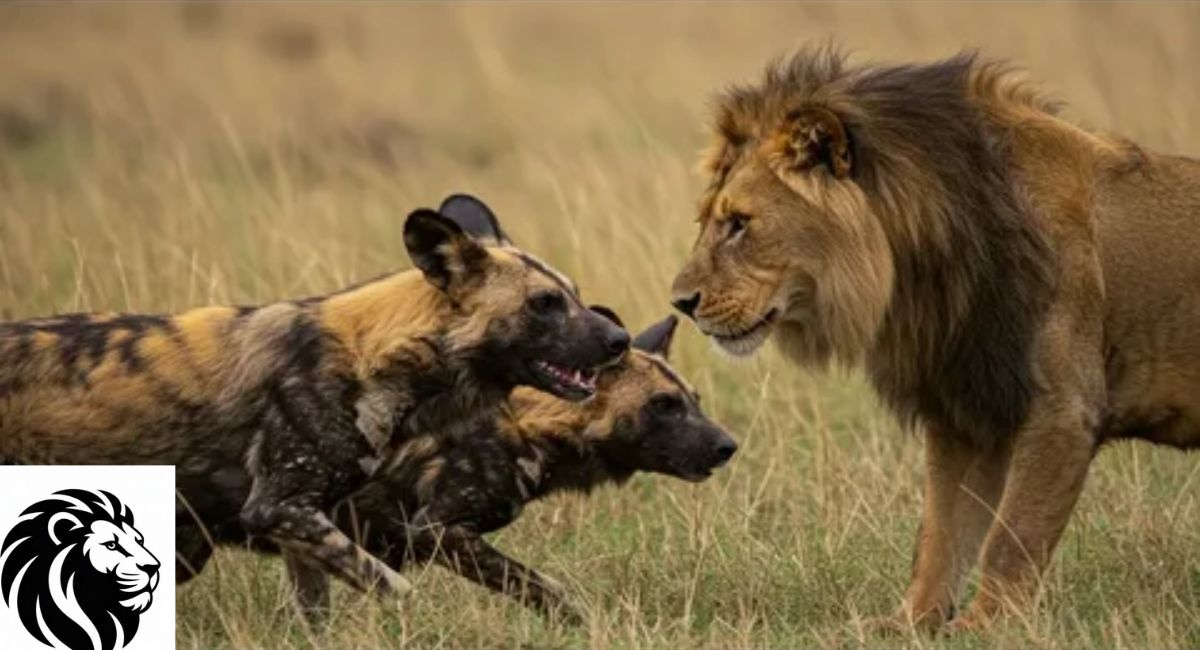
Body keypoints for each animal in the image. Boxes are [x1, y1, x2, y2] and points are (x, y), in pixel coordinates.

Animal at [670, 47, 1200, 632]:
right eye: (708, 221)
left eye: (739, 223)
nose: (680, 302)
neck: (923, 269)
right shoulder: (962, 412)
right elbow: (940, 536)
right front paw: (909, 623)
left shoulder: (1063, 412)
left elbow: (1009, 538)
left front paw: (985, 627)